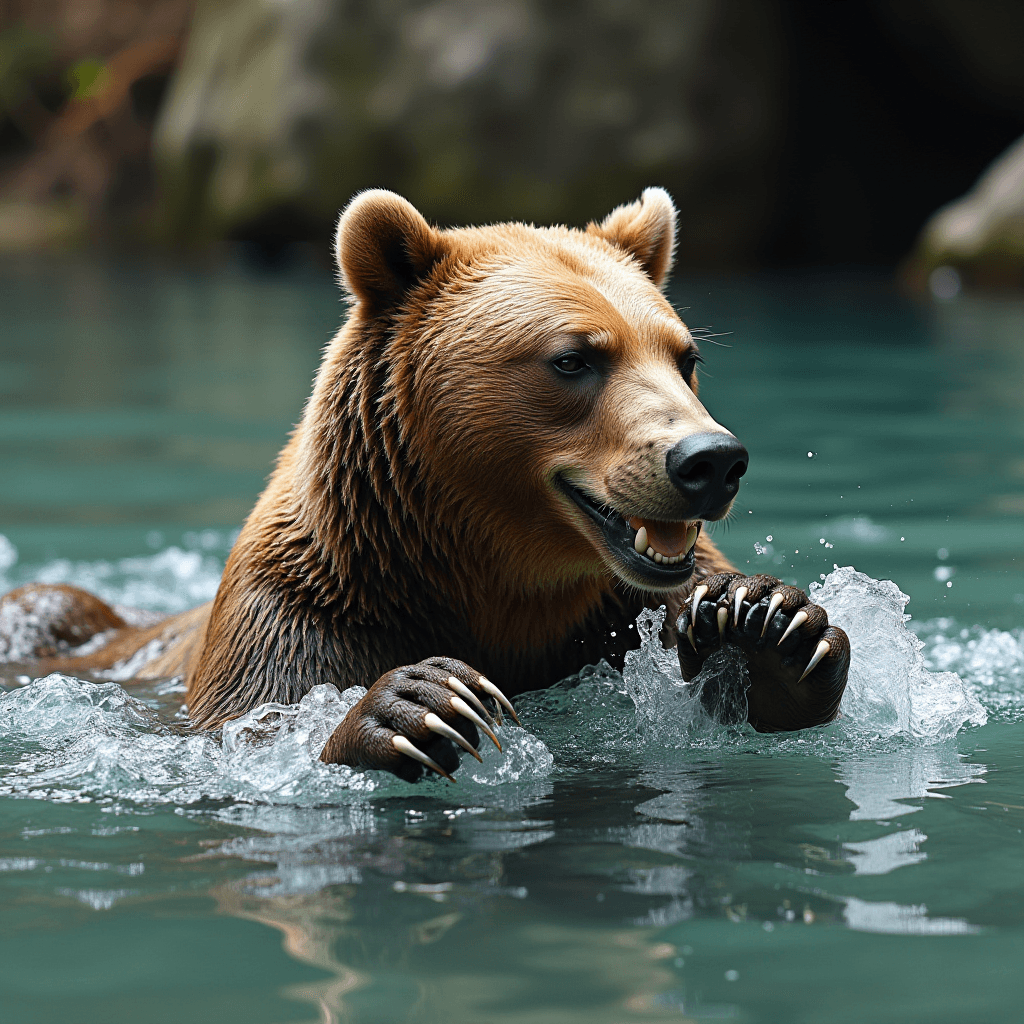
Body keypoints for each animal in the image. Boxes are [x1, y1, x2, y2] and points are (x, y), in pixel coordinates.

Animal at [0, 190, 847, 782]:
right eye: (574, 358)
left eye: (683, 355)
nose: (709, 460)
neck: (486, 576)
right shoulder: (301, 613)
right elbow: (259, 726)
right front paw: (420, 703)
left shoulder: (614, 614)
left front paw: (768, 620)